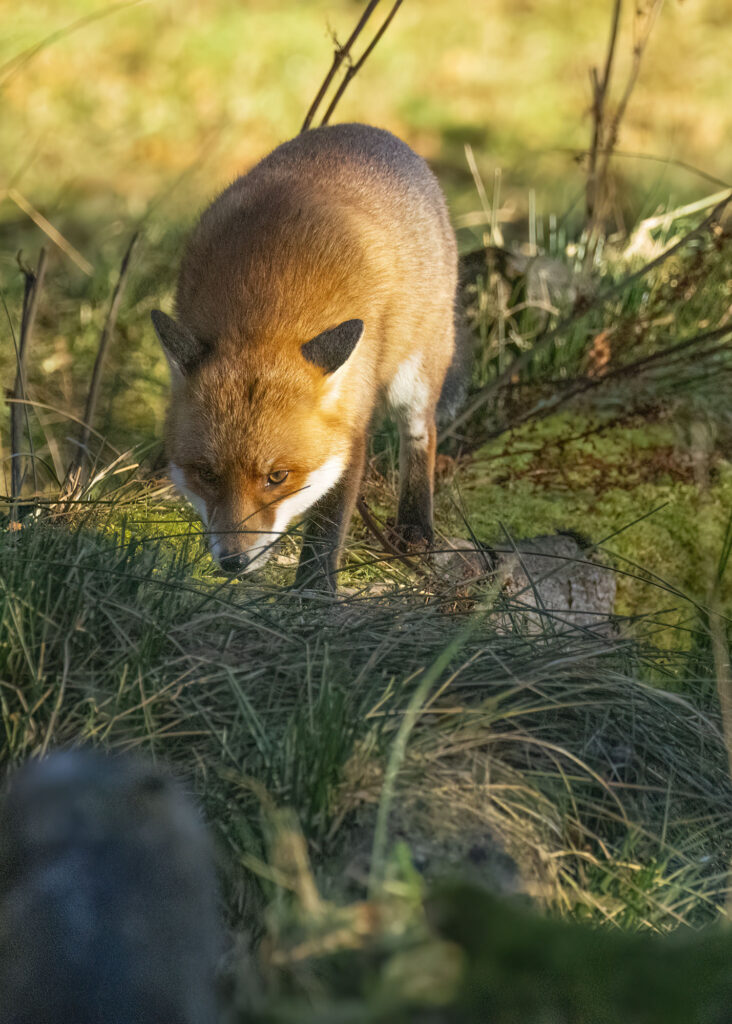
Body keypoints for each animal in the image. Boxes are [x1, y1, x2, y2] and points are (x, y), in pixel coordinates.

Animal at [152, 122, 460, 589]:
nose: (233, 562)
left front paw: (312, 591)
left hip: (416, 371)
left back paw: (414, 524)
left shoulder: (351, 424)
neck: (265, 314)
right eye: (207, 474)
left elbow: (327, 525)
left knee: (421, 433)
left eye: (277, 477)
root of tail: (368, 129)